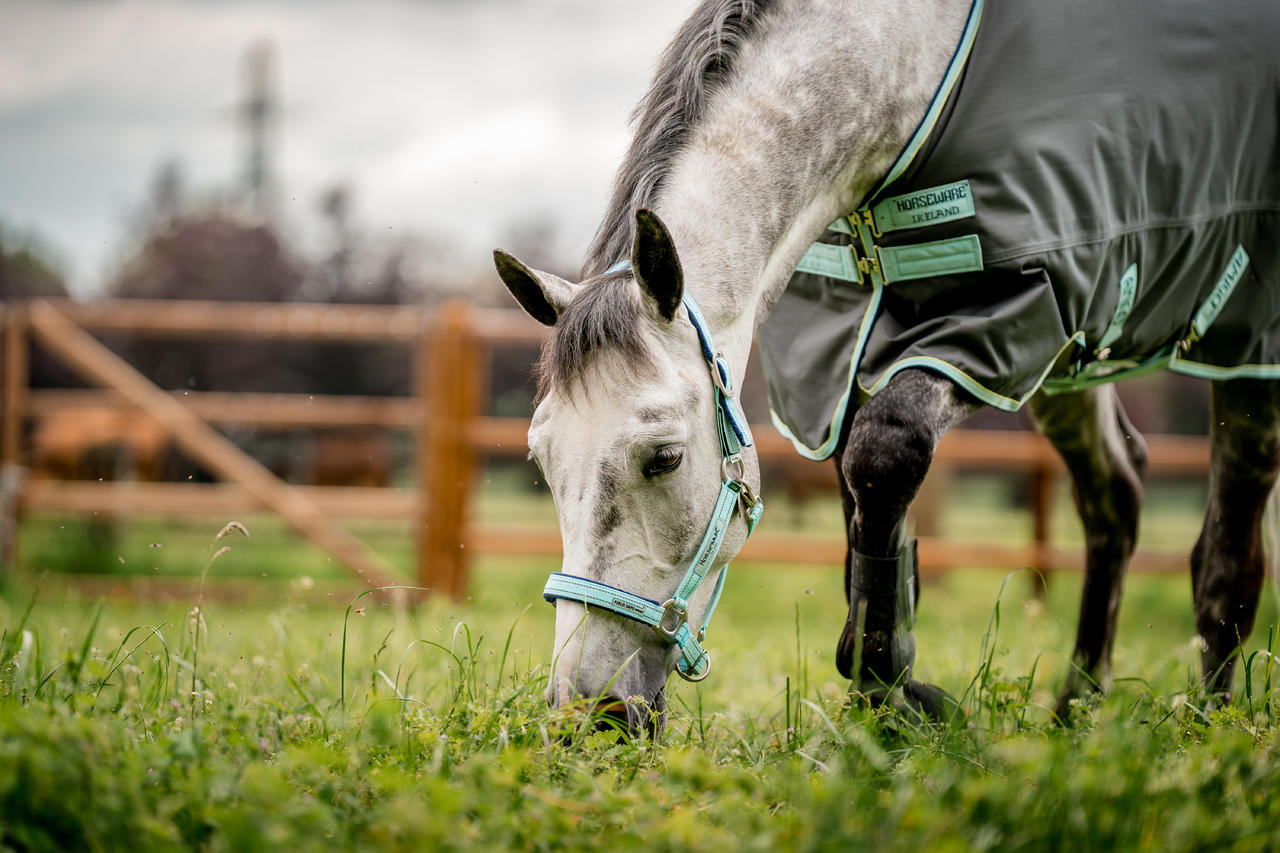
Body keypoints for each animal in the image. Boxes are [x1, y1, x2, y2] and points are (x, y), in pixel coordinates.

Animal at [491, 0, 1280, 732]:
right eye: (542, 463)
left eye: (663, 458)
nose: (588, 713)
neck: (912, 65)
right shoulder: (841, 352)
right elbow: (865, 514)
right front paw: (888, 698)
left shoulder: (1011, 309)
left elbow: (885, 451)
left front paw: (883, 678)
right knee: (1116, 495)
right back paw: (1074, 711)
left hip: (1242, 350)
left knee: (1225, 553)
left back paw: (1213, 721)